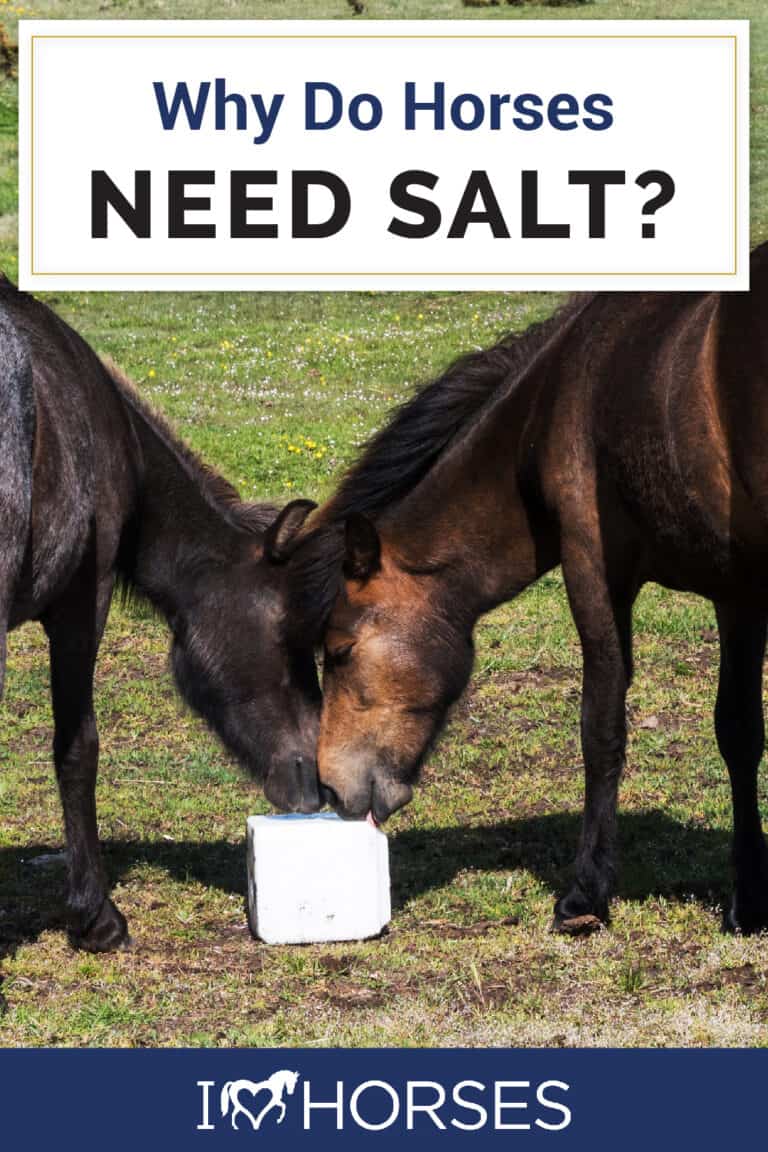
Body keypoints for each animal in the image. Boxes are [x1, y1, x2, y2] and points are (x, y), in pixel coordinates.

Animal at [285, 240, 768, 936]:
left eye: (341, 651)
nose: (330, 787)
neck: (560, 390)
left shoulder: (592, 565)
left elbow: (601, 725)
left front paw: (585, 895)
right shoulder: (736, 590)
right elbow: (739, 732)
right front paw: (748, 899)